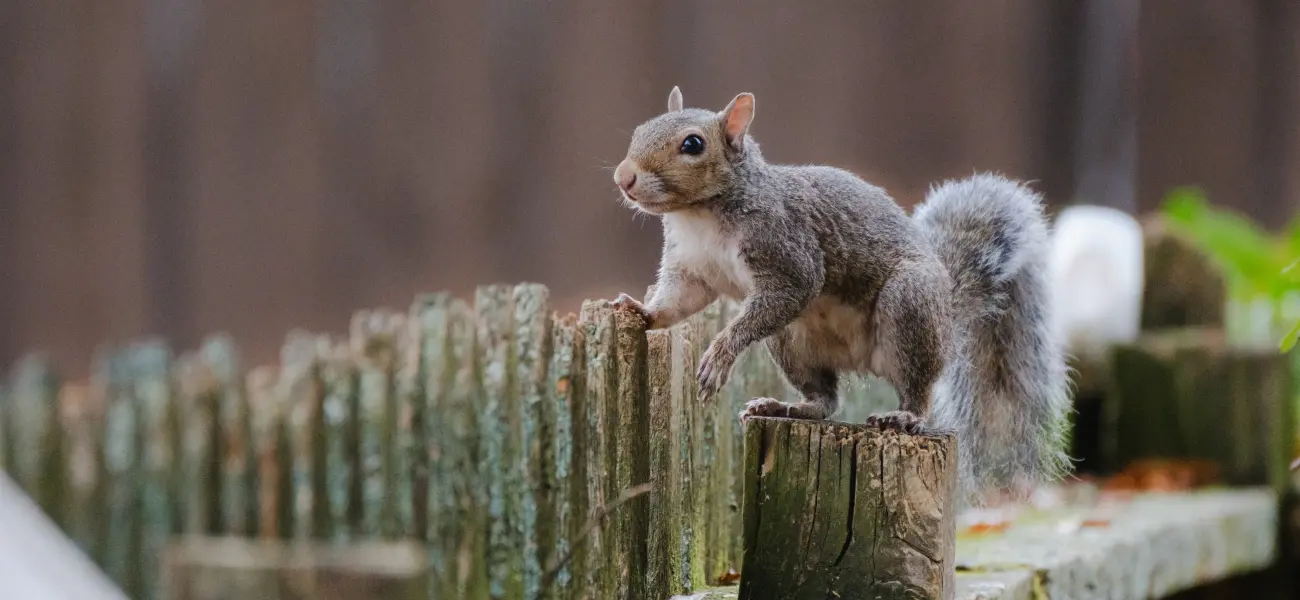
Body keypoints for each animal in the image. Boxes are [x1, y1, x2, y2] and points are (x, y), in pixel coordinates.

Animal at [607, 87, 1071, 504]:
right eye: (641, 128)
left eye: (692, 144)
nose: (623, 177)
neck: (699, 215)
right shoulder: (692, 269)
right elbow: (678, 301)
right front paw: (641, 311)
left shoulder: (789, 252)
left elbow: (791, 290)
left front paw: (719, 355)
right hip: (792, 342)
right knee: (826, 400)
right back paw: (789, 408)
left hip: (910, 305)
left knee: (918, 387)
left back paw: (904, 415)